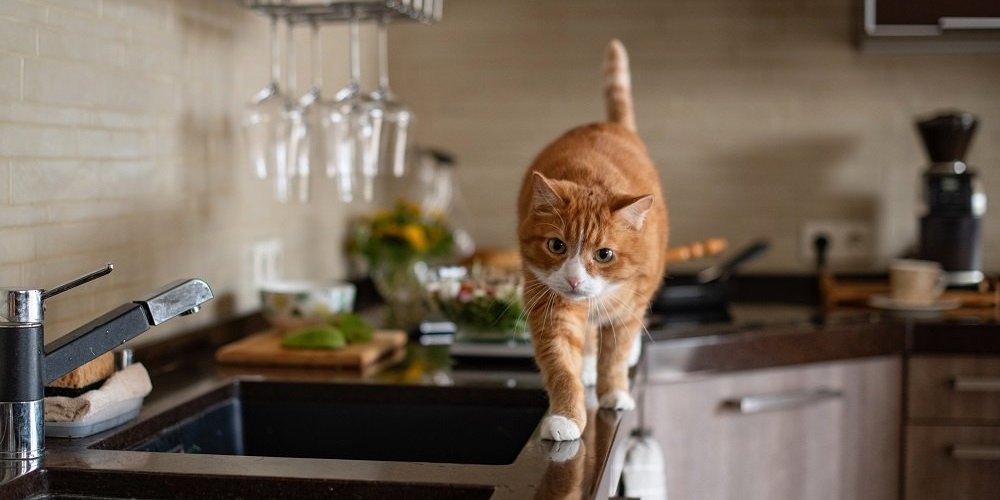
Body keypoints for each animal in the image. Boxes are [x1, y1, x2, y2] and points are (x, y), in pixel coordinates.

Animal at [520, 40, 668, 442]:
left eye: (604, 254)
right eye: (556, 246)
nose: (573, 280)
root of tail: (610, 124)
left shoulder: (629, 307)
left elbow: (614, 356)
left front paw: (614, 392)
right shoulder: (550, 307)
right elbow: (562, 367)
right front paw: (567, 415)